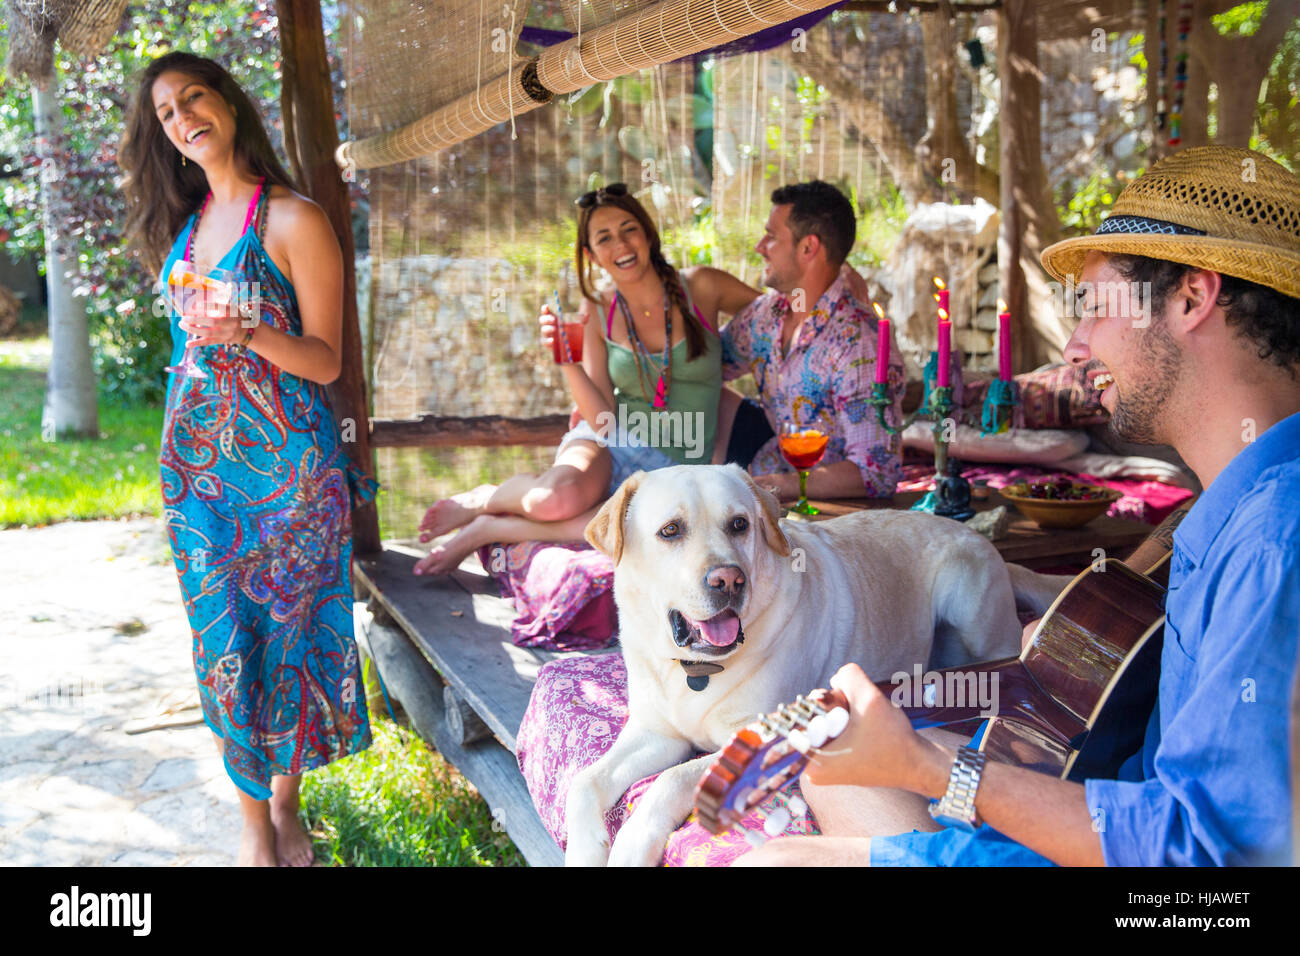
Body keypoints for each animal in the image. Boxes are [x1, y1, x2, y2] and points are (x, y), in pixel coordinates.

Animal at [566, 463, 1066, 868]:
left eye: (739, 524)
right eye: (670, 531)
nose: (729, 580)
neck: (696, 672)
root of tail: (989, 546)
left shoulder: (762, 739)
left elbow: (671, 780)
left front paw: (631, 846)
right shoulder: (654, 732)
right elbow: (585, 782)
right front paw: (587, 850)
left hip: (971, 606)